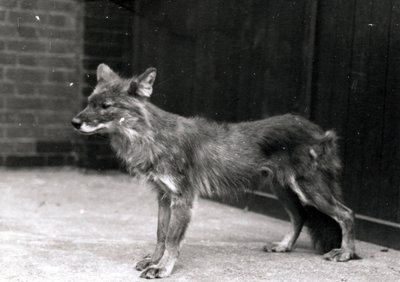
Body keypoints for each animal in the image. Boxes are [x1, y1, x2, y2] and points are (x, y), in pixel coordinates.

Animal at [72, 64, 360, 280]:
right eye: (89, 102)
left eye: (106, 106)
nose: (74, 122)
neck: (151, 137)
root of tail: (320, 130)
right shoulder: (163, 196)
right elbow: (160, 235)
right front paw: (153, 260)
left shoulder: (183, 199)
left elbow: (173, 239)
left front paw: (163, 268)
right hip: (283, 190)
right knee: (300, 217)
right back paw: (284, 246)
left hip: (309, 189)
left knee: (346, 214)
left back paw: (345, 253)